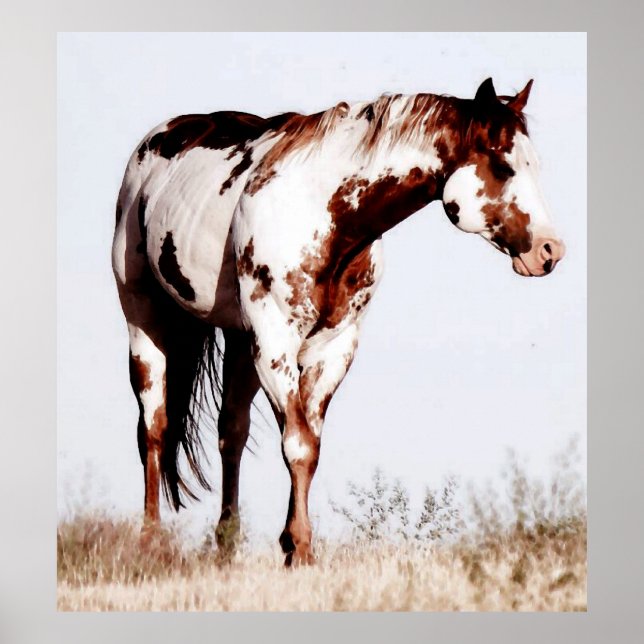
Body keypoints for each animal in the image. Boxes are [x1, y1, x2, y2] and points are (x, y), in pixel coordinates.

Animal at [112, 77, 565, 566]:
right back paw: (150, 540)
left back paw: (227, 542)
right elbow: (297, 443)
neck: (327, 214)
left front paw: (294, 548)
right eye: (502, 166)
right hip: (146, 322)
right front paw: (301, 548)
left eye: (534, 165)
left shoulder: (332, 348)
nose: (550, 250)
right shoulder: (276, 343)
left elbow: (308, 446)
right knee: (154, 428)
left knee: (230, 433)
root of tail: (159, 140)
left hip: (240, 340)